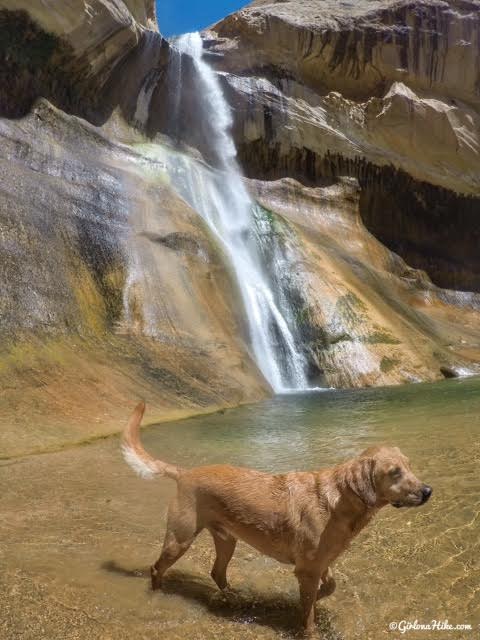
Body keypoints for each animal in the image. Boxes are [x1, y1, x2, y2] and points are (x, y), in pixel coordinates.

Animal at [122, 402, 434, 632]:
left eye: (409, 466)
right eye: (394, 472)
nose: (428, 491)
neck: (340, 502)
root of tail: (184, 473)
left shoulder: (320, 564)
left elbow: (329, 587)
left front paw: (315, 598)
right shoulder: (307, 570)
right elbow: (308, 618)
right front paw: (307, 621)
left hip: (227, 540)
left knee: (217, 572)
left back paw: (235, 598)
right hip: (180, 539)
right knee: (156, 569)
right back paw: (158, 595)